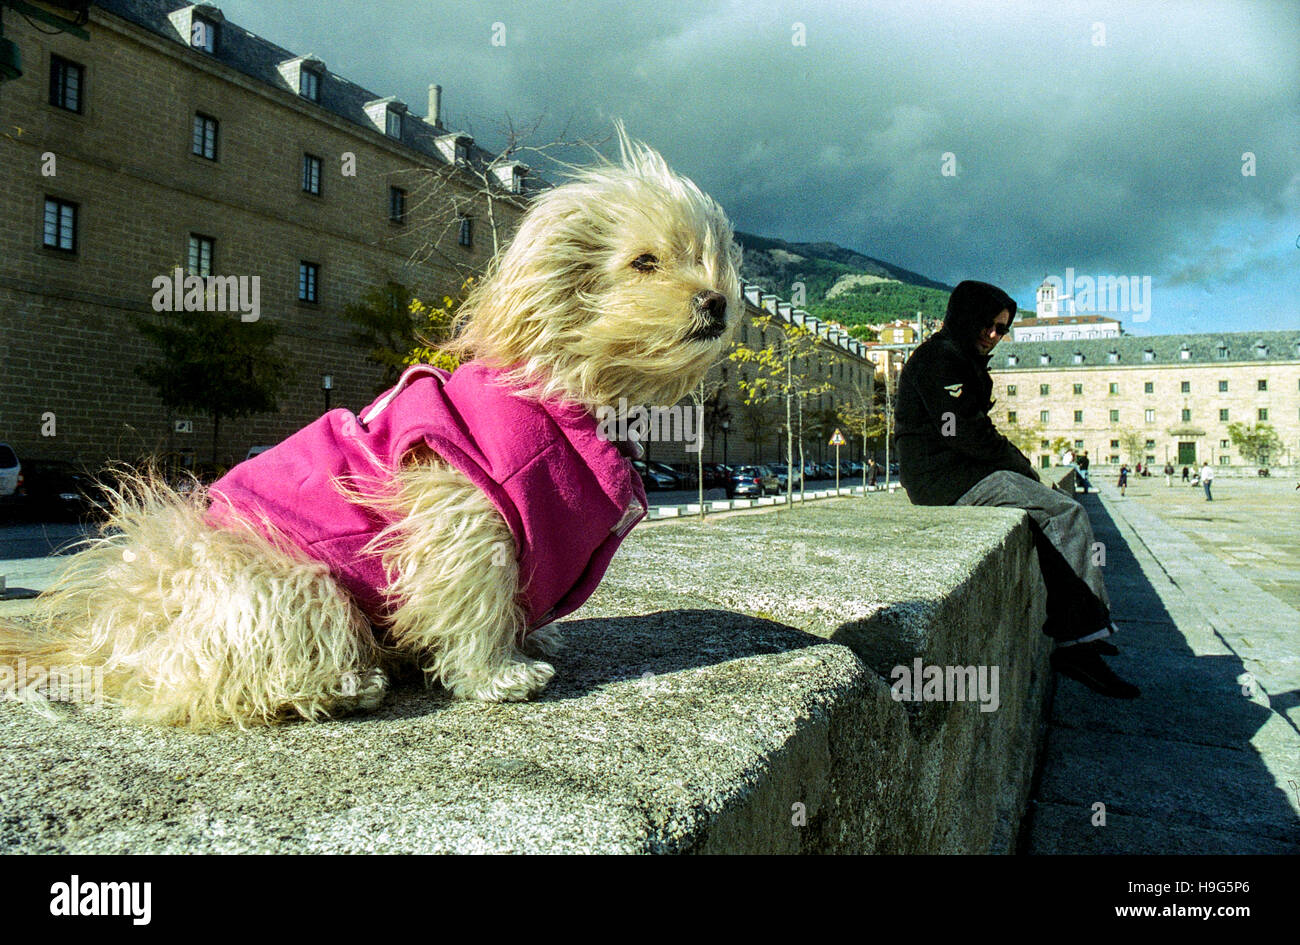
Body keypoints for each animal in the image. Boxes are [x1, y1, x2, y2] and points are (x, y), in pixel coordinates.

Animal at [2, 127, 743, 733]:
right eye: (644, 262)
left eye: (710, 259)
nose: (719, 302)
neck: (570, 392)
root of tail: (118, 627)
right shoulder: (467, 511)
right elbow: (476, 594)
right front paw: (498, 671)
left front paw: (530, 641)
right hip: (287, 582)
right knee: (223, 679)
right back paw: (340, 683)